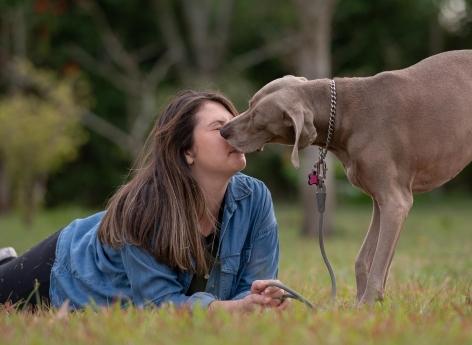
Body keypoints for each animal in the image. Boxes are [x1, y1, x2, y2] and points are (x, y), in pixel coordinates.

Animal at [220, 49, 472, 302]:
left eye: (257, 117)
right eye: (250, 104)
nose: (223, 131)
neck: (343, 112)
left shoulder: (396, 201)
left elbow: (377, 267)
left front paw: (367, 304)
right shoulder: (381, 201)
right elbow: (363, 260)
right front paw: (363, 305)